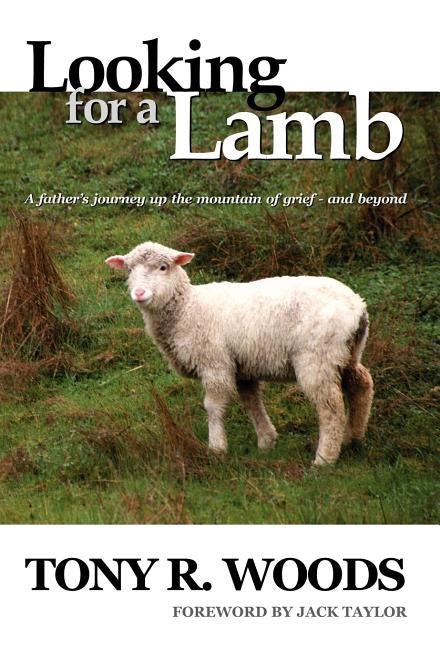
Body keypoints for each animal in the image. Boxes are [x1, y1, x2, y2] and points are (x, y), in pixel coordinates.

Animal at [105, 241, 373, 465]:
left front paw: (216, 448)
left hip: (317, 357)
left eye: (163, 267)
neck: (187, 309)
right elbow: (251, 402)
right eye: (129, 270)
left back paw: (324, 459)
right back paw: (353, 438)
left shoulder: (214, 363)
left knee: (332, 408)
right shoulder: (243, 366)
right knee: (361, 384)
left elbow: (213, 406)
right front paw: (266, 441)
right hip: (346, 353)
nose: (139, 293)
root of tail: (358, 307)